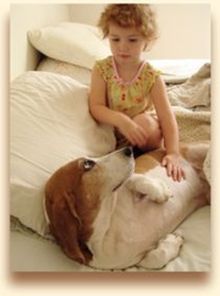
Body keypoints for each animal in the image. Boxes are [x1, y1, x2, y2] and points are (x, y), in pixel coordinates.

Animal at [44, 143, 210, 270]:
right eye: (87, 164)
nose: (129, 149)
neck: (105, 229)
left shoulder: (126, 185)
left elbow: (136, 180)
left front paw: (161, 191)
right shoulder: (135, 261)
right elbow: (153, 260)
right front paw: (173, 241)